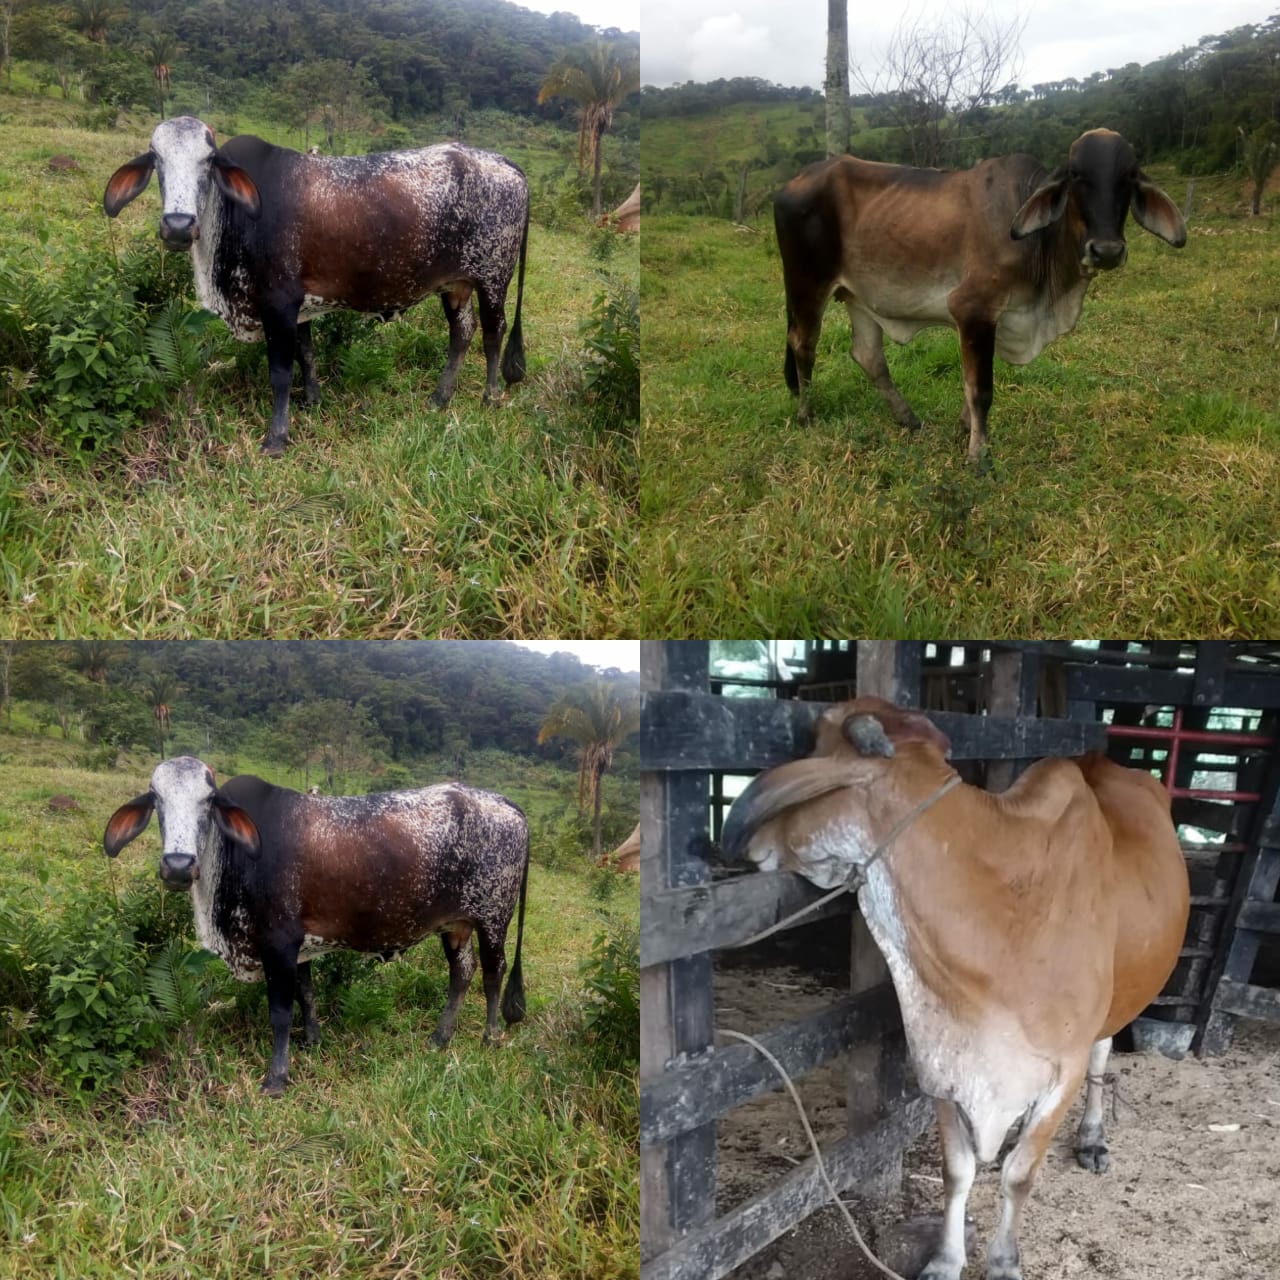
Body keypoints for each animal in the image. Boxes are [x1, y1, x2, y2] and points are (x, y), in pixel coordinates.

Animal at [103, 116, 529, 456]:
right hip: (456, 285)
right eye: (156, 159)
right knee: (462, 333)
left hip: (493, 277)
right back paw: (440, 398)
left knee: (493, 333)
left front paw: (277, 438)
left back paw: (490, 395)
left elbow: (281, 371)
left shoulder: (278, 302)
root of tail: (504, 162)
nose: (177, 226)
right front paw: (312, 401)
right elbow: (306, 355)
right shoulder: (300, 306)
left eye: (208, 161)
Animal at [104, 756, 529, 1096]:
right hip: (455, 924)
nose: (177, 866)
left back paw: (490, 1035)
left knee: (493, 973)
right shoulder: (300, 946)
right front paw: (312, 1041)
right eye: (157, 799)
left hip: (493, 917)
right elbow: (306, 995)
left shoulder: (278, 942)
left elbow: (280, 1011)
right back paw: (440, 1038)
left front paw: (277, 1078)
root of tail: (504, 802)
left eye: (208, 801)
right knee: (462, 972)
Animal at [721, 697, 1190, 1280]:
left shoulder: (1062, 1070)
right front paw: (945, 1260)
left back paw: (1092, 1138)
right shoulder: (945, 1063)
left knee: (1103, 1054)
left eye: (817, 745)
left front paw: (1005, 1261)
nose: (752, 847)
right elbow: (957, 1171)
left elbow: (1019, 1175)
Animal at [773, 129, 1187, 464]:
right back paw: (806, 415)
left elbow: (973, 385)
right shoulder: (973, 309)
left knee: (867, 356)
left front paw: (964, 429)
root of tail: (794, 181)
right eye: (1075, 176)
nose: (1106, 250)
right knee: (802, 344)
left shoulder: (1000, 317)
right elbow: (982, 390)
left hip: (860, 296)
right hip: (807, 284)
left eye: (1129, 177)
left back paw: (908, 419)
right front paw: (977, 456)